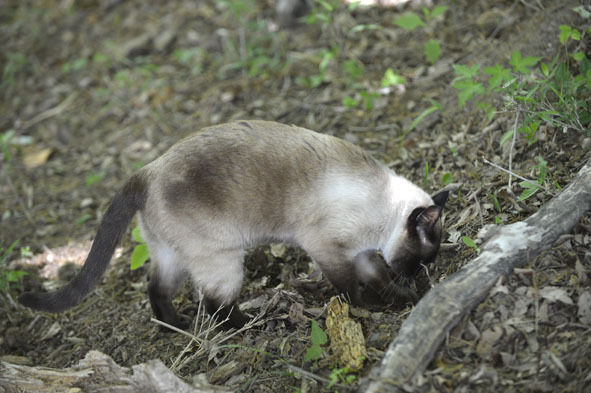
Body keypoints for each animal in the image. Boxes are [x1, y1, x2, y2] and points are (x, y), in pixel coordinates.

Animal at [22, 121, 448, 330]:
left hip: (170, 254)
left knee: (156, 289)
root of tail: (146, 170)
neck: (379, 214)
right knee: (215, 306)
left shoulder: (360, 252)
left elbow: (376, 276)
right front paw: (370, 308)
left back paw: (175, 327)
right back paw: (252, 327)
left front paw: (400, 297)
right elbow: (350, 288)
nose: (418, 274)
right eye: (420, 258)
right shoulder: (327, 247)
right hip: (222, 258)